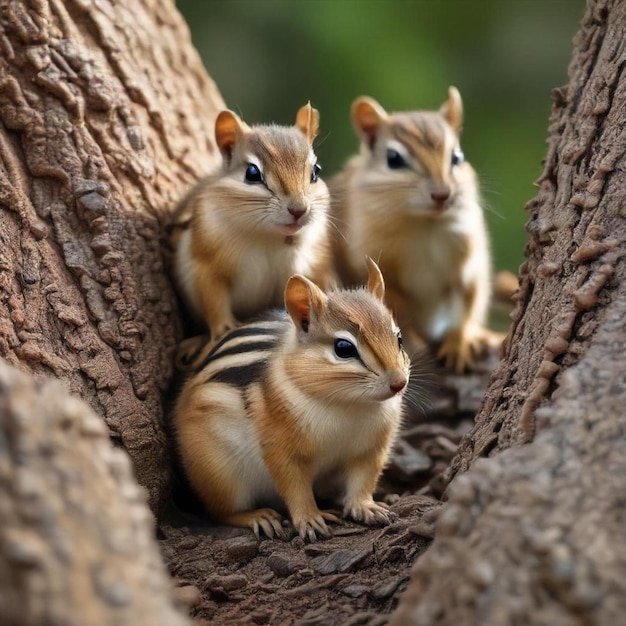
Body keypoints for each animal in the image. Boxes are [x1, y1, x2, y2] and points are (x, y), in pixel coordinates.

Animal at [171, 102, 334, 338]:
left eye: (316, 171)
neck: (268, 236)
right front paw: (224, 327)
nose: (299, 210)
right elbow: (211, 295)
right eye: (252, 173)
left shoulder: (315, 262)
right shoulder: (204, 261)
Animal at [173, 258, 412, 540]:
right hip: (221, 475)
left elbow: (363, 480)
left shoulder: (371, 448)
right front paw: (310, 518)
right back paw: (258, 516)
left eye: (399, 339)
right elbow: (294, 486)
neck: (348, 404)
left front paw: (366, 507)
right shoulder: (280, 447)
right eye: (343, 348)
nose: (399, 383)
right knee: (221, 512)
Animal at [330, 87, 500, 370]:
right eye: (393, 159)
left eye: (457, 157)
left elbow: (466, 304)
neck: (424, 223)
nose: (442, 194)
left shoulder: (466, 261)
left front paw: (460, 342)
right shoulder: (368, 259)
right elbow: (395, 303)